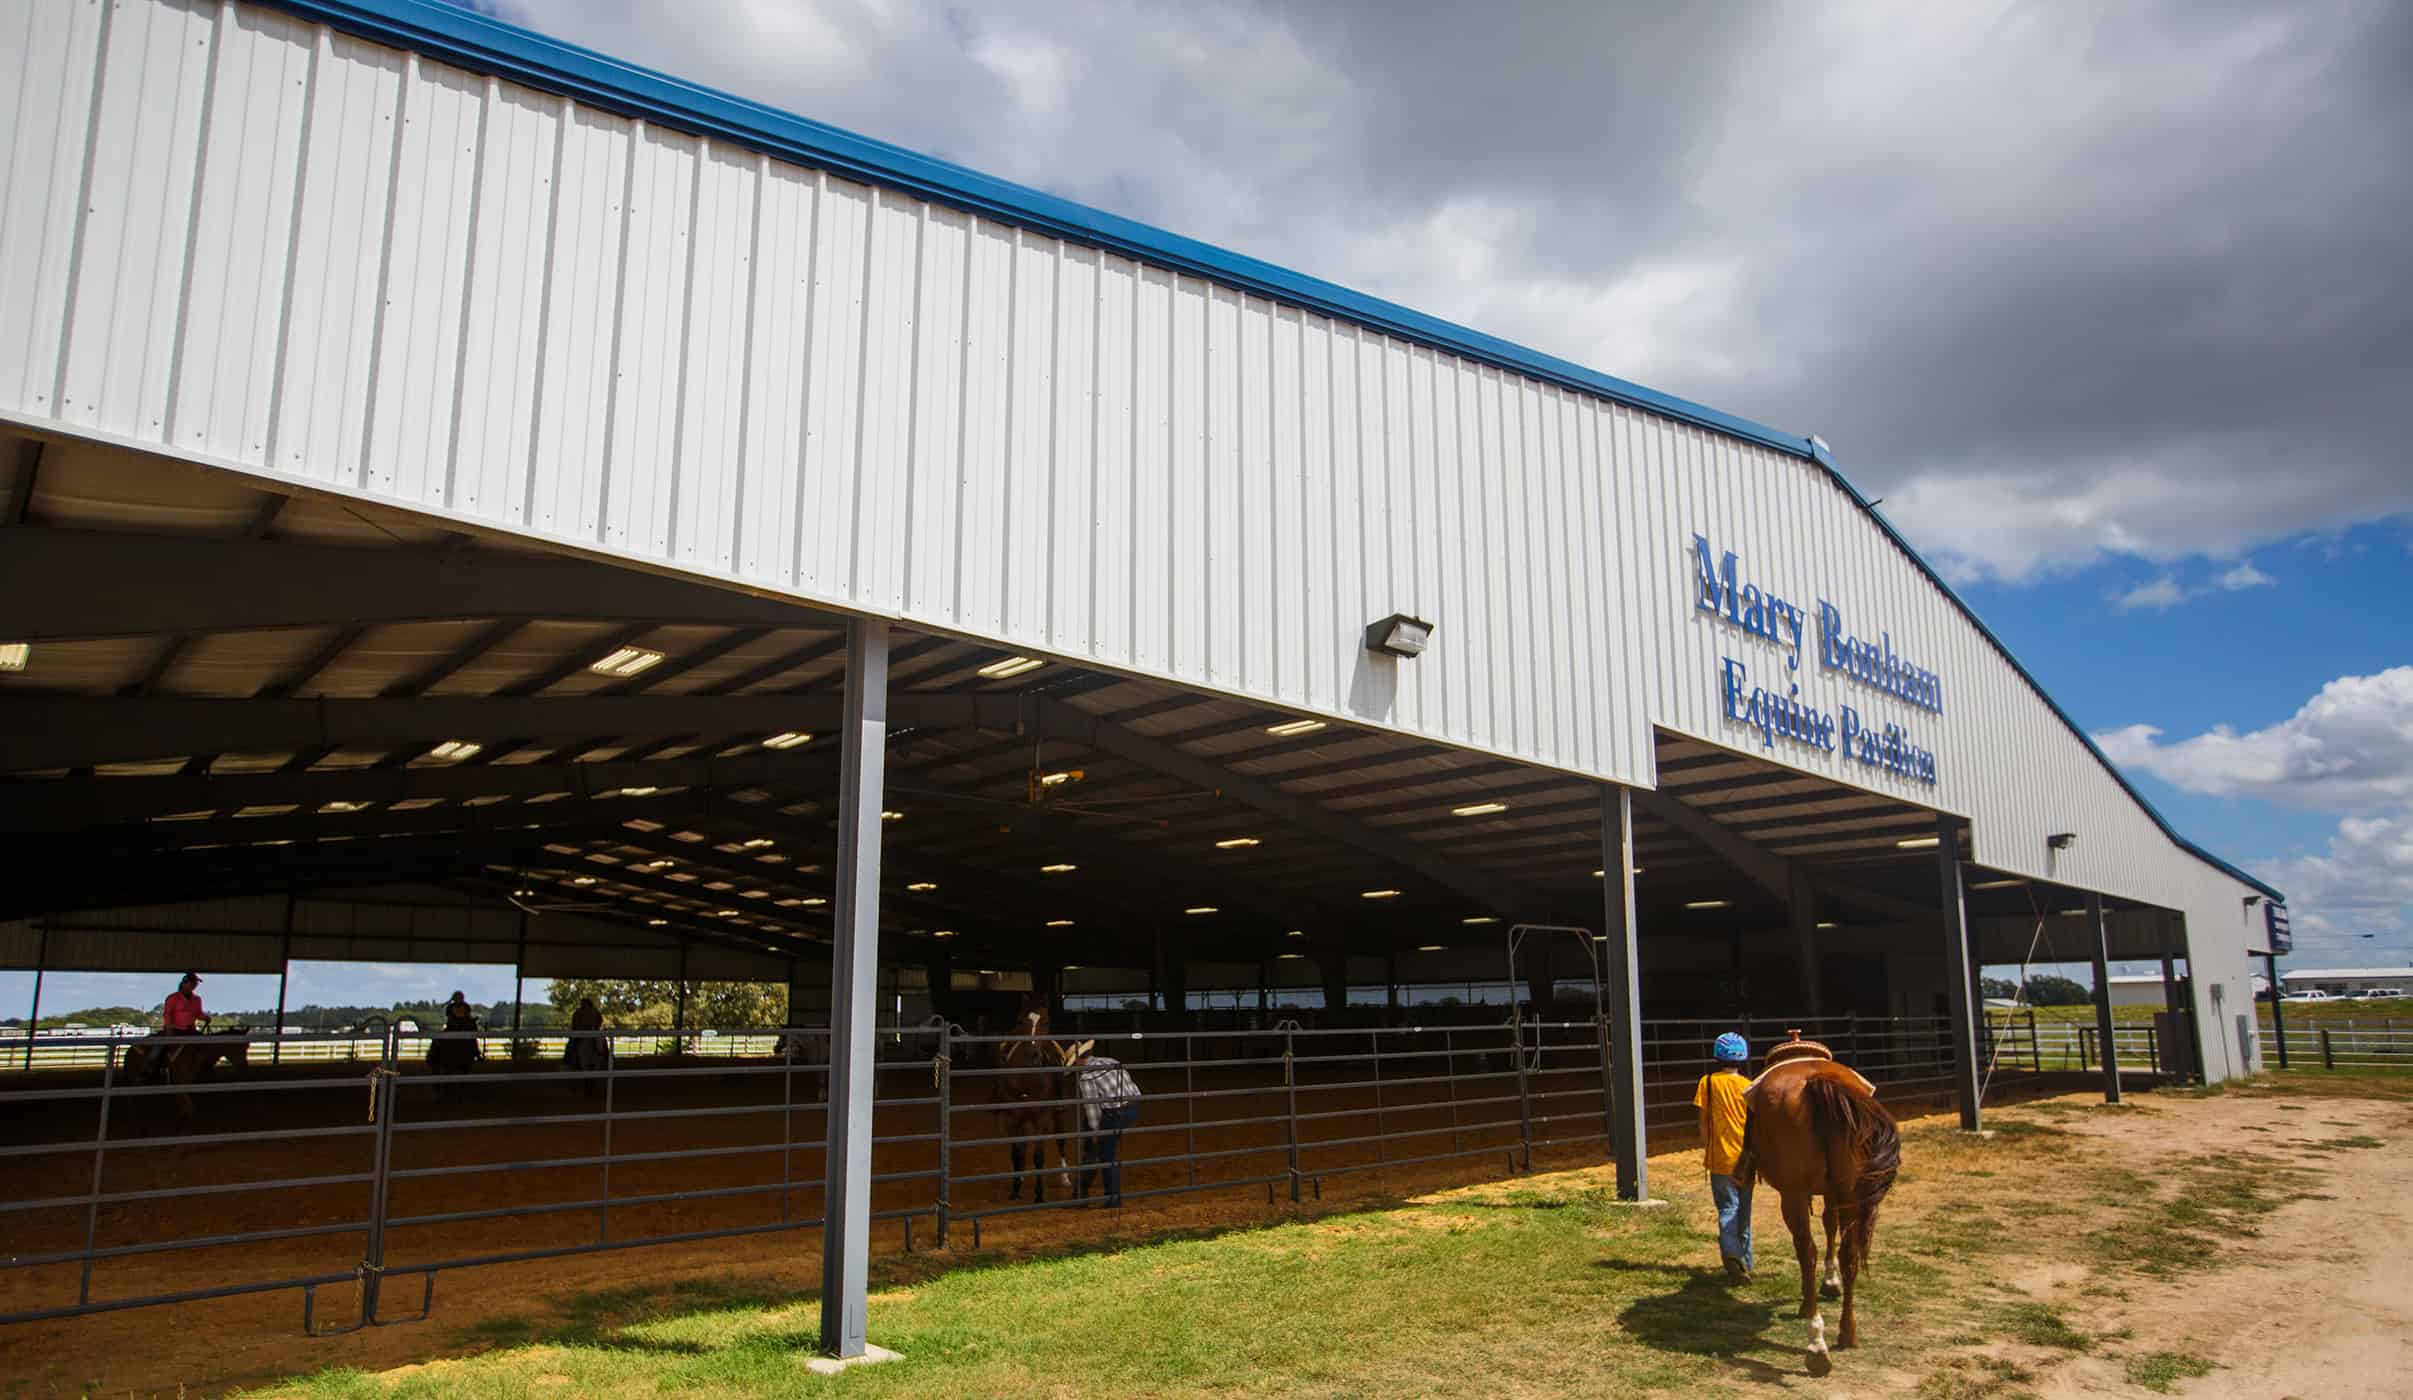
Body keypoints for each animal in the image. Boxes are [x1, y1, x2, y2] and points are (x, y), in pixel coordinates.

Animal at [1737, 1037, 1901, 1380]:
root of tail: (1818, 1080)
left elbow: (1818, 1237)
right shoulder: (1834, 1193)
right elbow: (1831, 1227)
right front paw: (1831, 1283)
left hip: (1794, 1196)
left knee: (1806, 1250)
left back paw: (1816, 1344)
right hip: (1849, 1193)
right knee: (1849, 1254)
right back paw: (1847, 1333)